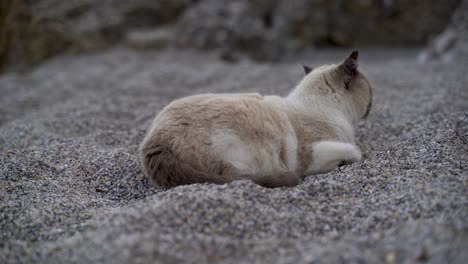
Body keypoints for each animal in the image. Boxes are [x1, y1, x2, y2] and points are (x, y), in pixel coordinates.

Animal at [140, 50, 372, 188]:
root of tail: (155, 143)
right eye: (370, 90)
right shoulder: (315, 151)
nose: (372, 104)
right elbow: (355, 151)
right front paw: (346, 159)